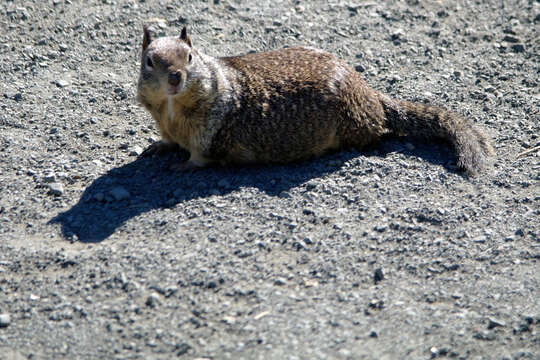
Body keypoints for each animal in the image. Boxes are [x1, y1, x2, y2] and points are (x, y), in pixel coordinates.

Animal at [136, 26, 494, 175]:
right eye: (149, 61)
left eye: (190, 56)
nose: (175, 77)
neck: (172, 110)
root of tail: (369, 93)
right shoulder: (165, 123)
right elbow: (167, 140)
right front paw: (158, 147)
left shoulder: (208, 133)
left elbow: (200, 157)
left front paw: (181, 165)